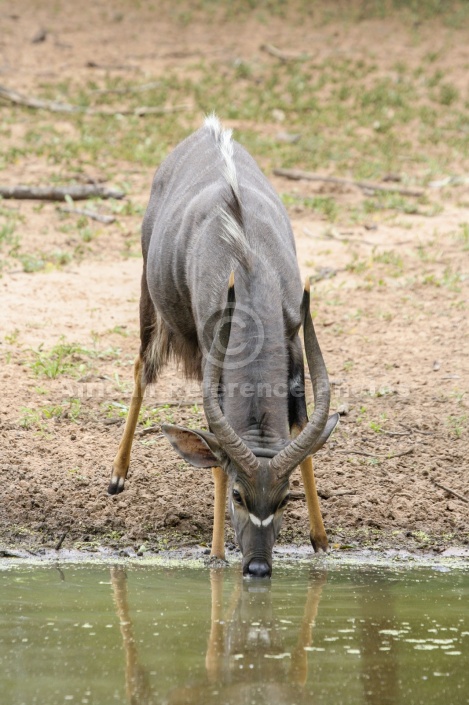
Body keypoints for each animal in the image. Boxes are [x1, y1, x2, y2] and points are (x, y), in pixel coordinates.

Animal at [109, 117, 336, 576]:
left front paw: (321, 541)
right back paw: (117, 475)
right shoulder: (207, 353)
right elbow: (214, 454)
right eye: (237, 495)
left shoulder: (294, 351)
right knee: (141, 369)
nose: (258, 568)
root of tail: (206, 129)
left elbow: (304, 437)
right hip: (149, 302)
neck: (247, 264)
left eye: (284, 498)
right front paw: (215, 554)